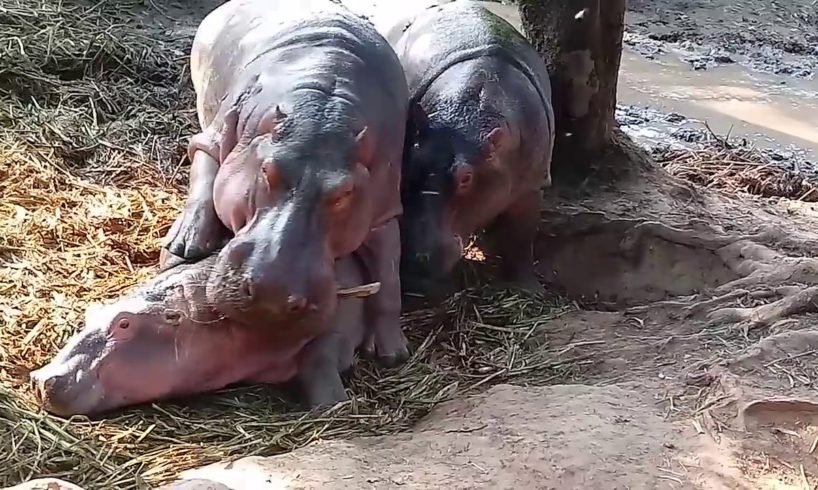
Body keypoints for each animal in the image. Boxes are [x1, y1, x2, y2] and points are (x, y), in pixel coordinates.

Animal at [27, 255, 372, 416]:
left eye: (124, 324)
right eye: (90, 312)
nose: (42, 378)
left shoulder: (335, 328)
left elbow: (318, 356)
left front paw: (332, 406)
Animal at [161, 0, 408, 368]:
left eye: (344, 192)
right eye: (267, 170)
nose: (272, 296)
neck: (322, 110)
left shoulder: (383, 203)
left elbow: (389, 269)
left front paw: (393, 351)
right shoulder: (214, 138)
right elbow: (203, 178)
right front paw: (181, 250)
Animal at [388, 0, 556, 298]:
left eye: (466, 177)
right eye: (409, 164)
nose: (415, 264)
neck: (467, 117)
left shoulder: (532, 185)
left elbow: (524, 237)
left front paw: (530, 289)